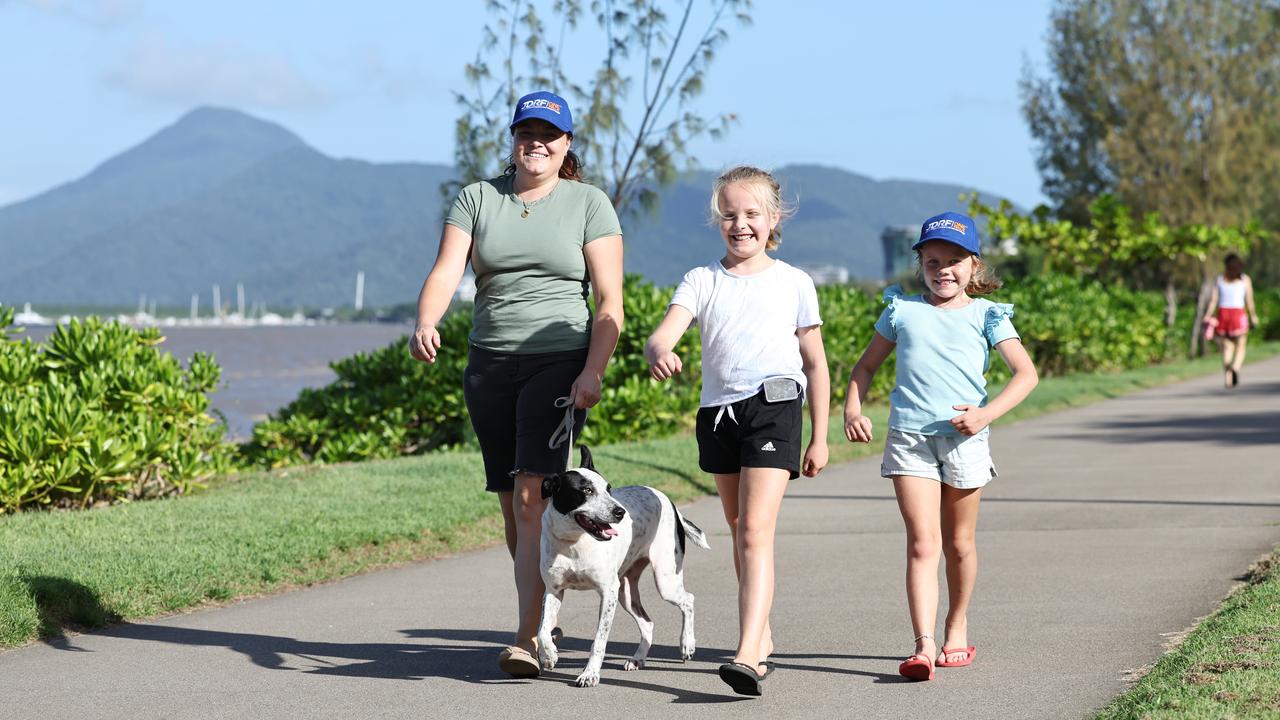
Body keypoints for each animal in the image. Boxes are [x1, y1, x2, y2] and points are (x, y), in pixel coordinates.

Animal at [532, 443, 706, 681]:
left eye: (609, 488)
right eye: (587, 490)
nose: (620, 512)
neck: (574, 543)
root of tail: (667, 499)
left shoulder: (608, 592)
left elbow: (599, 640)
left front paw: (590, 674)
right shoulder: (553, 590)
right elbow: (542, 631)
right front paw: (548, 655)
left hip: (665, 582)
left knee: (688, 600)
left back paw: (687, 644)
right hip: (626, 593)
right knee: (648, 623)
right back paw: (638, 658)